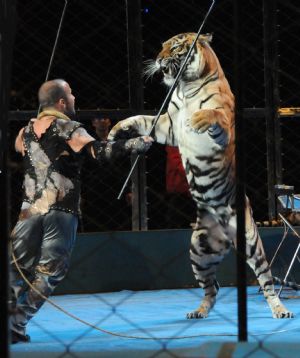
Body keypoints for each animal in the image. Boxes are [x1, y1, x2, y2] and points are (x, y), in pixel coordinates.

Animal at [108, 32, 292, 318]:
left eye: (174, 47)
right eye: (162, 46)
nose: (158, 59)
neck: (185, 86)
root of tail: (227, 236)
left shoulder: (220, 123)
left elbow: (212, 113)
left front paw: (198, 120)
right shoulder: (168, 126)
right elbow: (141, 119)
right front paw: (118, 129)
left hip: (251, 242)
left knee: (266, 281)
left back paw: (280, 309)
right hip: (198, 250)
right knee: (212, 288)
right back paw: (199, 311)